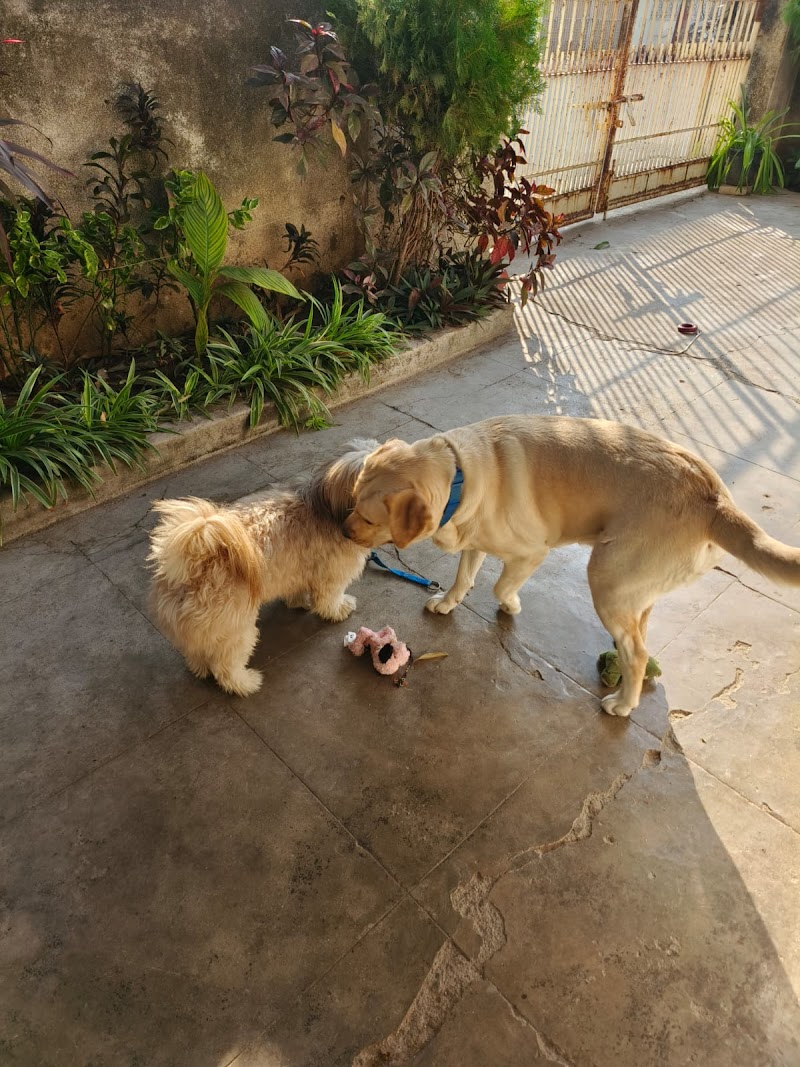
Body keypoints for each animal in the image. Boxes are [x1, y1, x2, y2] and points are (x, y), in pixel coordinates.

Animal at [148, 441, 375, 696]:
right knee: (226, 668)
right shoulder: (332, 575)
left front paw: (299, 601)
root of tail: (196, 562)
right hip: (235, 629)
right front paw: (340, 609)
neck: (326, 508)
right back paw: (246, 683)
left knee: (197, 653)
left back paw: (200, 668)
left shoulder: (296, 570)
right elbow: (329, 600)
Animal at [343, 415, 800, 717]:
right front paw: (448, 602)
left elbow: (499, 586)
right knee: (640, 629)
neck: (459, 474)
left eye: (368, 517)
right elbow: (464, 575)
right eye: (352, 499)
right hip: (632, 584)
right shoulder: (474, 542)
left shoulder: (532, 552)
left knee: (637, 651)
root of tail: (715, 500)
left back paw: (623, 702)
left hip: (606, 576)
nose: (343, 531)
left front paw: (510, 605)